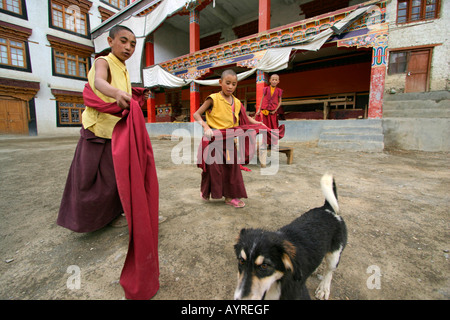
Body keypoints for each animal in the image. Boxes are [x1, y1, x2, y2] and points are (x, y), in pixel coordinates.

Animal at [234, 172, 346, 300]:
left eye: (264, 266)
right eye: (241, 261)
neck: (277, 281)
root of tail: (327, 209)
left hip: (335, 255)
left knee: (329, 271)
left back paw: (324, 288)